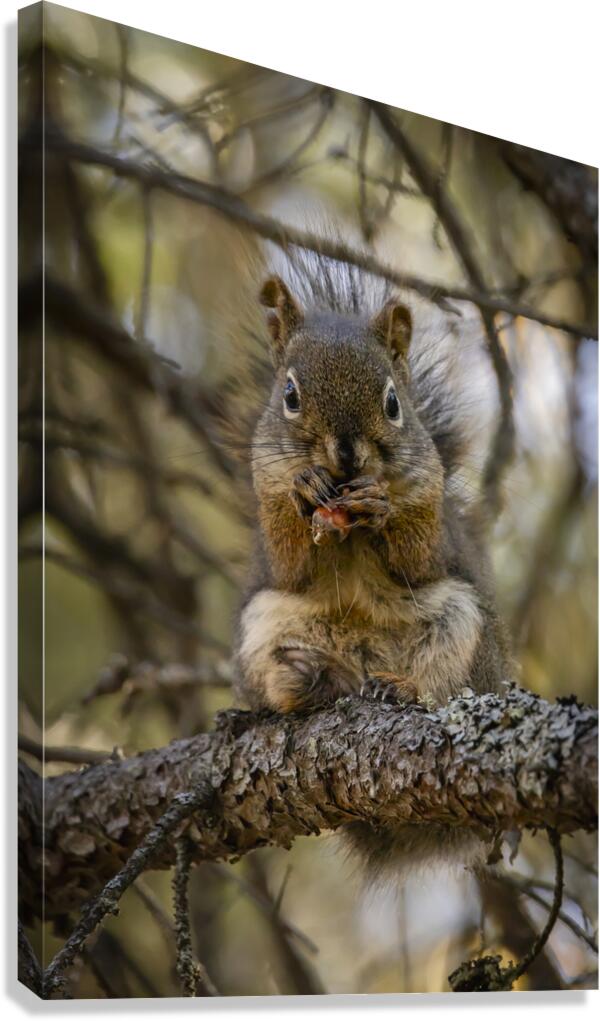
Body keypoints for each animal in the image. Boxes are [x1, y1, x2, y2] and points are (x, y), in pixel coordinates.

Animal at [232, 252, 512, 875]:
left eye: (392, 403)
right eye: (290, 395)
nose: (344, 454)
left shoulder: (432, 517)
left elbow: (419, 554)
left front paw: (380, 508)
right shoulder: (268, 503)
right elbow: (290, 561)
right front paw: (306, 488)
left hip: (463, 629)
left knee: (441, 685)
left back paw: (398, 689)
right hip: (264, 625)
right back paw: (311, 680)